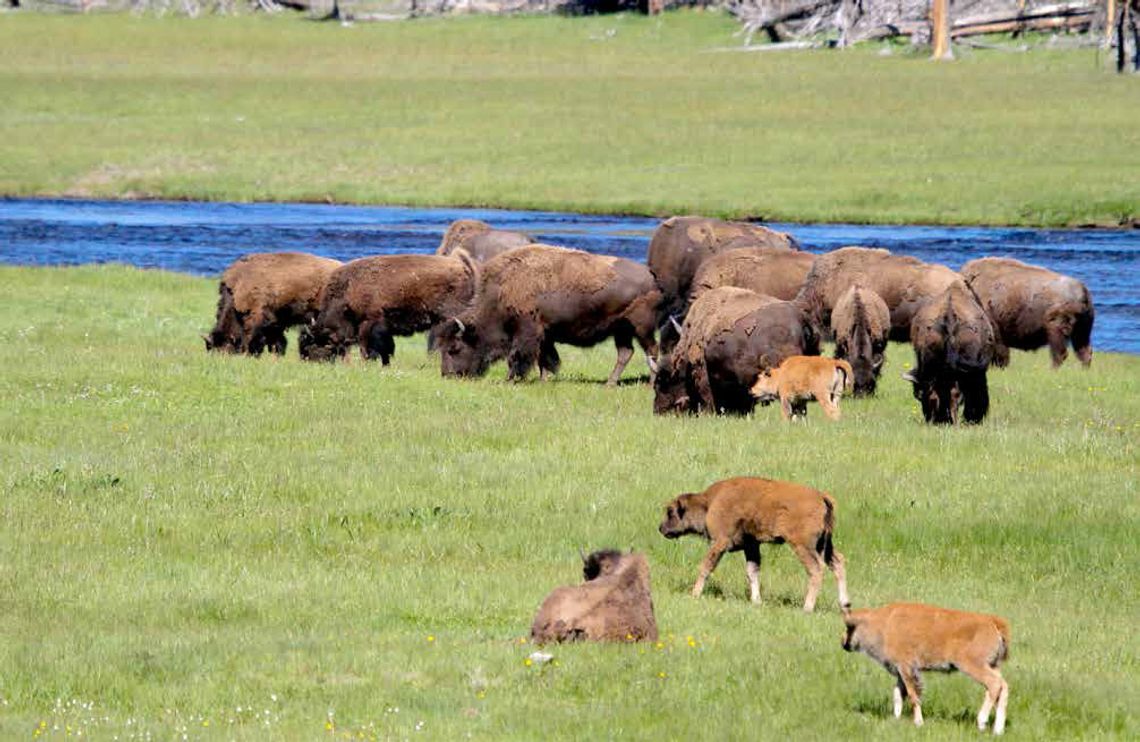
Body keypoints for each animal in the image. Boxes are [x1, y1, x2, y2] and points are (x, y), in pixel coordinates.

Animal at [299, 252, 478, 364]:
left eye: (312, 344)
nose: (311, 363)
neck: (348, 289)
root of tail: (464, 268)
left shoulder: (369, 323)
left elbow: (367, 347)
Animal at [436, 244, 661, 385]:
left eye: (454, 349)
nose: (447, 375)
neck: (500, 290)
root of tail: (653, 278)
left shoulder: (527, 332)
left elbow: (518, 356)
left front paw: (509, 379)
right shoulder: (545, 335)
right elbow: (544, 359)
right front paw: (543, 380)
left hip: (641, 327)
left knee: (652, 350)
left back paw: (650, 383)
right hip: (621, 329)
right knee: (626, 353)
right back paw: (610, 383)